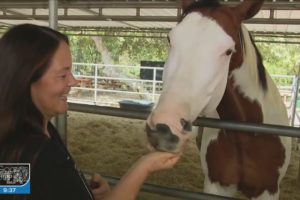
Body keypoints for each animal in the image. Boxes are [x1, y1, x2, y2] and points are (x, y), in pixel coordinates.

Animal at [146, 0, 292, 199]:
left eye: (228, 51)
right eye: (170, 39)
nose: (163, 128)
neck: (247, 135)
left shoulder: (267, 190)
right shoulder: (217, 185)